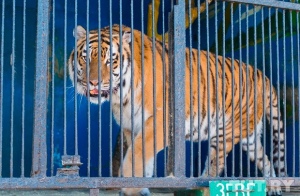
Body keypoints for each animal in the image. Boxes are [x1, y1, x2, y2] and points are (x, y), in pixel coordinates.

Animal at [68, 24, 286, 196]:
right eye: (86, 58)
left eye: (110, 60)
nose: (93, 82)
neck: (121, 95)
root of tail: (263, 75)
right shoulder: (131, 126)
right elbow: (142, 158)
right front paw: (141, 188)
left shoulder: (160, 122)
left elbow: (136, 154)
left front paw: (131, 186)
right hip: (249, 137)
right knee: (265, 159)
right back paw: (274, 186)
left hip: (226, 133)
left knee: (216, 163)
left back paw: (203, 185)